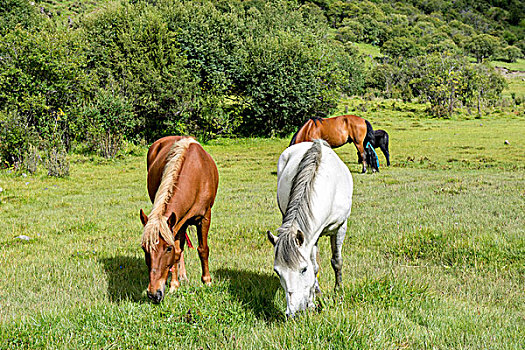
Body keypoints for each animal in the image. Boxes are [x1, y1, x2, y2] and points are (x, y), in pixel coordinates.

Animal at [138, 135, 218, 302]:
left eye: (167, 248)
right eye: (144, 248)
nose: (153, 294)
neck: (196, 174)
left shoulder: (204, 217)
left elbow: (203, 249)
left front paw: (207, 281)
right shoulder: (177, 223)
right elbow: (177, 252)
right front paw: (174, 285)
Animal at [266, 139, 352, 318]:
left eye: (303, 270)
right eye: (277, 272)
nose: (293, 313)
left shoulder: (341, 227)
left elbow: (336, 261)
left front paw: (338, 290)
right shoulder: (312, 236)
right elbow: (316, 266)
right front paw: (314, 300)